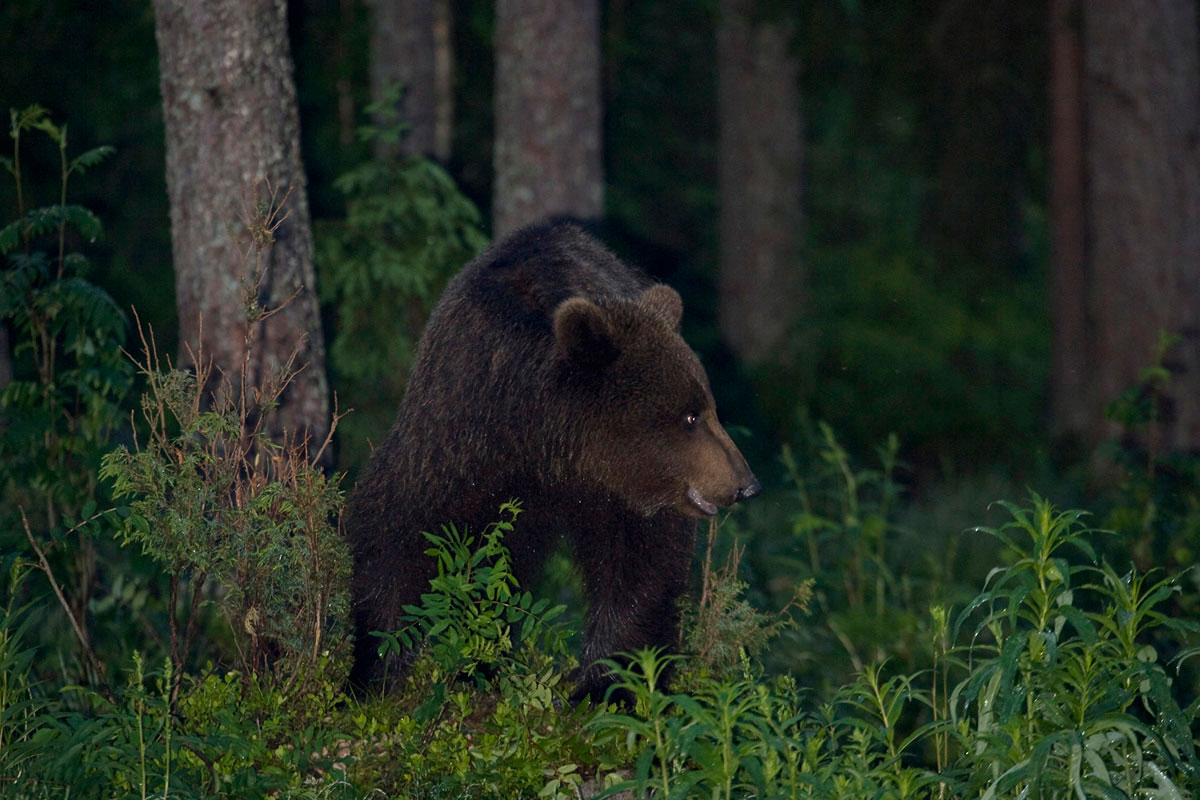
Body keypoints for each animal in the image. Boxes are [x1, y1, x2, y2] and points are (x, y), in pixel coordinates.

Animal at [343, 220, 758, 700]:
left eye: (709, 407)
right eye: (690, 415)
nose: (746, 484)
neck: (546, 446)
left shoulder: (619, 493)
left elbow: (638, 567)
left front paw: (606, 683)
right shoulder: (457, 437)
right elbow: (398, 532)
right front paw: (378, 668)